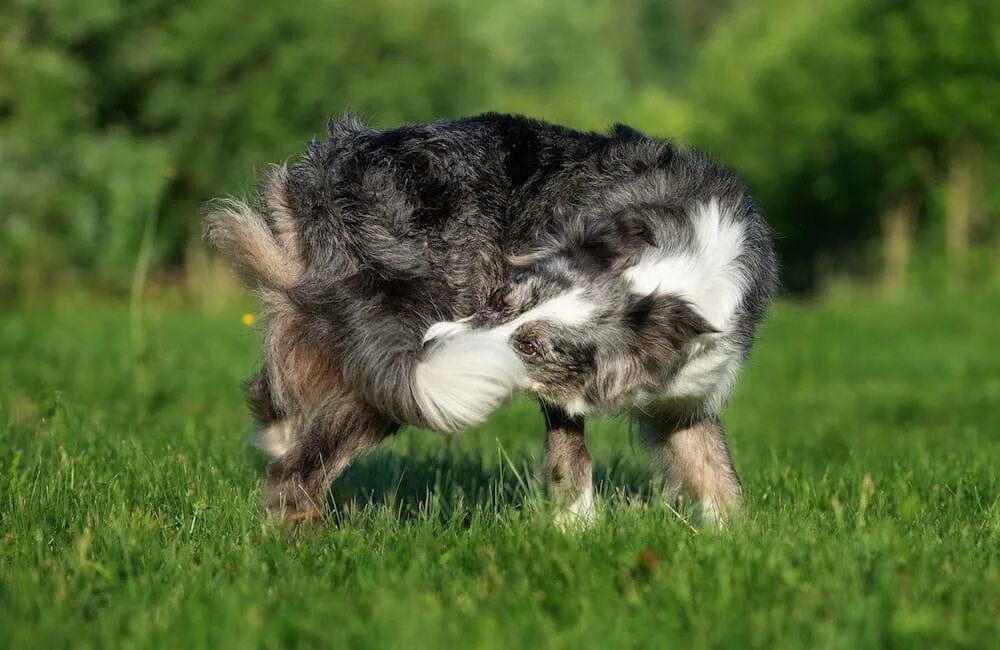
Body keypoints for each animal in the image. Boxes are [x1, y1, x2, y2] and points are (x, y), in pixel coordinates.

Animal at [207, 114, 776, 524]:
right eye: (501, 300)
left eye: (531, 345)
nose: (434, 340)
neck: (672, 276)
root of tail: (331, 168)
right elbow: (572, 460)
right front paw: (577, 533)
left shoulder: (687, 399)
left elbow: (719, 476)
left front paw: (737, 546)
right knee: (297, 474)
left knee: (275, 390)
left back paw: (277, 434)